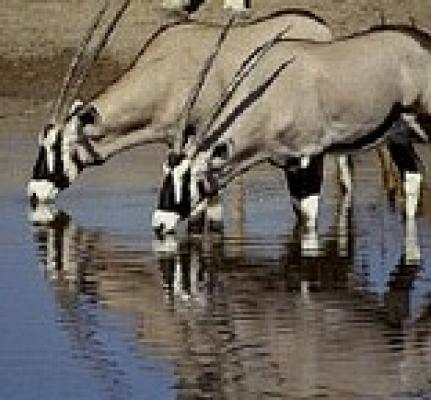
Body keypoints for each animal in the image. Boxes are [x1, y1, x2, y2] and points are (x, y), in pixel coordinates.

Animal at [154, 24, 431, 234]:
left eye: (194, 176)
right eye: (166, 172)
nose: (159, 225)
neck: (272, 91)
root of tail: (423, 41)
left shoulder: (310, 155)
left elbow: (308, 219)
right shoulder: (289, 164)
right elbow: (299, 213)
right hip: (398, 137)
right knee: (413, 175)